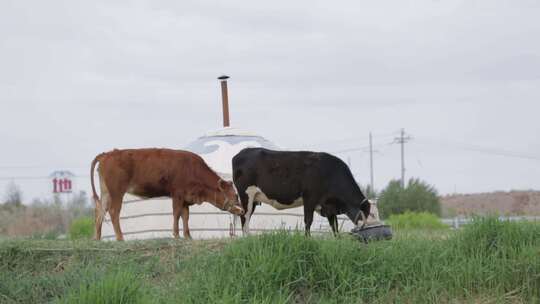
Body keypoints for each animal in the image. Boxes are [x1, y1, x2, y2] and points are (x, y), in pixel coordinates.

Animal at [91, 148, 245, 241]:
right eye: (235, 195)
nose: (243, 210)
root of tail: (107, 154)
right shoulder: (177, 194)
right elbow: (176, 214)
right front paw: (176, 235)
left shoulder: (185, 199)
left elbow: (185, 216)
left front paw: (188, 237)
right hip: (116, 191)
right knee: (113, 212)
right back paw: (120, 238)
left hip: (106, 192)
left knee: (100, 211)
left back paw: (97, 239)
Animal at [232, 148, 372, 236]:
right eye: (366, 213)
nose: (369, 226)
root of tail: (241, 153)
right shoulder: (310, 197)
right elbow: (308, 221)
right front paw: (307, 238)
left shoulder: (328, 206)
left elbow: (334, 225)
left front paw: (337, 240)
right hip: (246, 195)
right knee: (244, 217)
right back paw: (247, 239)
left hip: (253, 199)